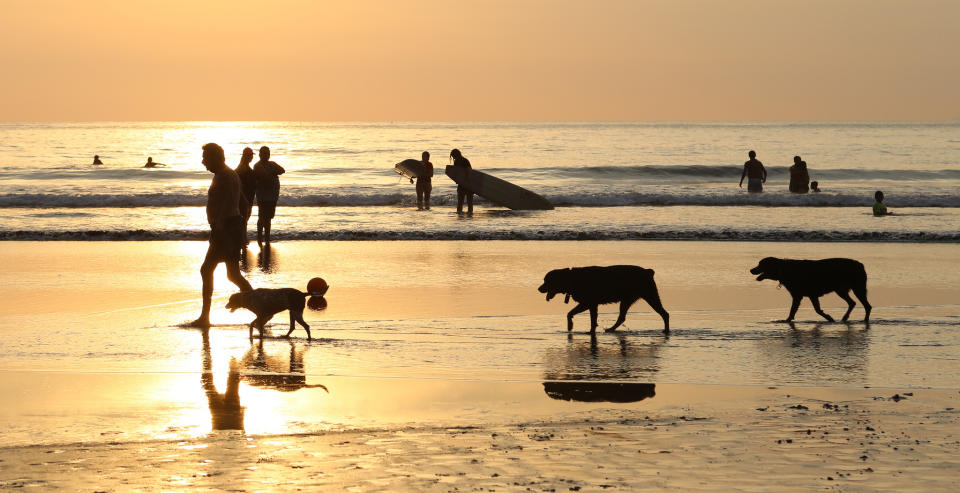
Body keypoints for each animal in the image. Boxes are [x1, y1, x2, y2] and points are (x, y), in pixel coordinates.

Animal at [536, 266, 672, 334]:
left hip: (650, 295)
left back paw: (666, 330)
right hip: (628, 299)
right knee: (622, 317)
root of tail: (648, 271)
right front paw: (591, 329)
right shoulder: (592, 304)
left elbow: (570, 313)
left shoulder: (588, 302)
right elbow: (592, 319)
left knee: (664, 313)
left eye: (546, 281)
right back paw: (611, 329)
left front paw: (571, 326)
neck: (571, 278)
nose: (539, 288)